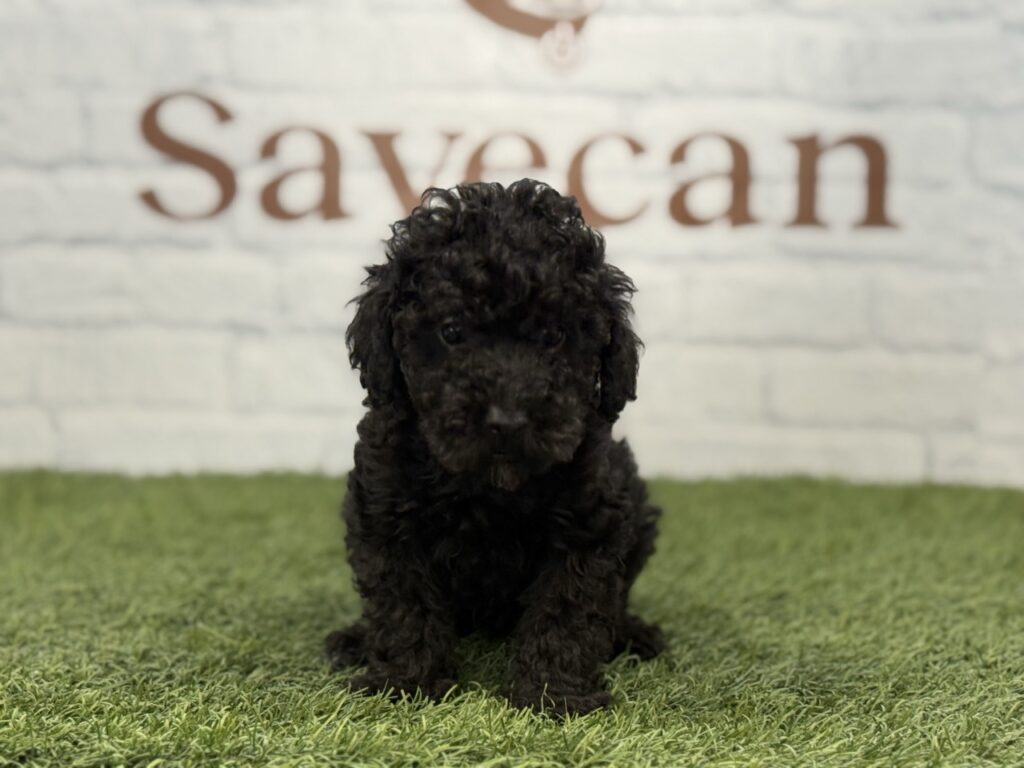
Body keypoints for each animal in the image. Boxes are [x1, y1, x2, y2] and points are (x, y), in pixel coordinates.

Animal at [325, 178, 663, 716]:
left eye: (553, 335)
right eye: (451, 332)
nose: (507, 420)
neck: (488, 488)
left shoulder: (590, 519)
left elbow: (568, 609)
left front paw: (553, 695)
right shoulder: (384, 509)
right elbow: (402, 604)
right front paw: (405, 683)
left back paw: (632, 633)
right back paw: (354, 640)